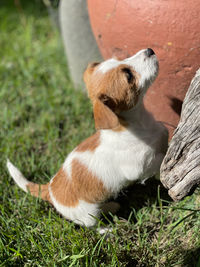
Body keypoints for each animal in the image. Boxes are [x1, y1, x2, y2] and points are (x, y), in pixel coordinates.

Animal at [7, 48, 168, 228]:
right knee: (94, 225)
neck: (138, 123)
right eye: (128, 75)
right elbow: (159, 161)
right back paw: (107, 230)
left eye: (119, 59)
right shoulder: (138, 167)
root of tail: (50, 189)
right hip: (87, 214)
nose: (149, 50)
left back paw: (111, 206)